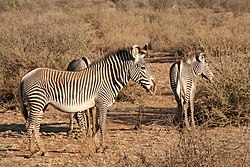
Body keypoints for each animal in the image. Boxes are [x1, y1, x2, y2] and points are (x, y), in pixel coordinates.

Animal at [19, 43, 155, 156]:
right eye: (143, 68)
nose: (154, 87)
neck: (108, 79)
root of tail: (25, 76)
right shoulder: (102, 103)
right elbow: (102, 125)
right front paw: (102, 147)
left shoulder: (97, 105)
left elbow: (97, 124)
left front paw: (95, 145)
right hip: (37, 102)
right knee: (30, 124)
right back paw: (32, 151)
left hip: (41, 104)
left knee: (35, 125)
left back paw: (43, 150)